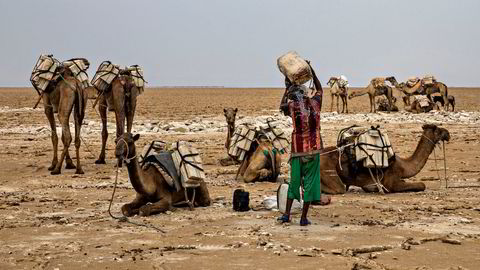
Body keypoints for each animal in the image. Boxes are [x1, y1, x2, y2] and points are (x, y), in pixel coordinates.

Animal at [318, 124, 450, 194]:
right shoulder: (392, 182)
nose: (448, 133)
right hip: (326, 168)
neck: (404, 166)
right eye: (438, 130)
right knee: (338, 188)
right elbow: (422, 185)